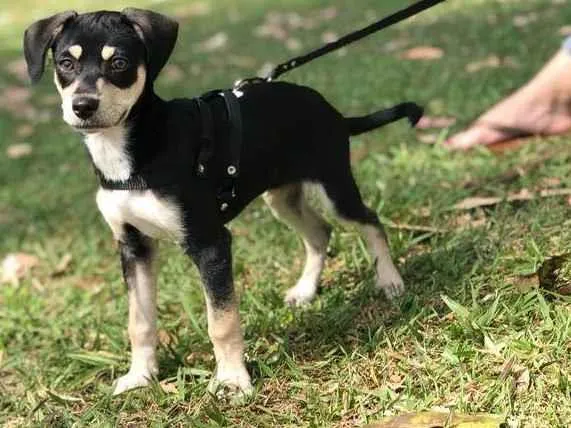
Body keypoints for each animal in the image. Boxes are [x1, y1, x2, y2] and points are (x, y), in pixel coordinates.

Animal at [22, 8, 422, 398]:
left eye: (119, 63)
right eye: (65, 63)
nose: (83, 106)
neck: (135, 152)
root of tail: (333, 112)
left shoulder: (209, 243)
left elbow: (222, 321)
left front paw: (231, 380)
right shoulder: (133, 245)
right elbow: (140, 321)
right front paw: (140, 376)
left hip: (334, 187)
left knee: (370, 221)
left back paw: (390, 281)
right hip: (282, 198)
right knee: (320, 232)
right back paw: (306, 290)